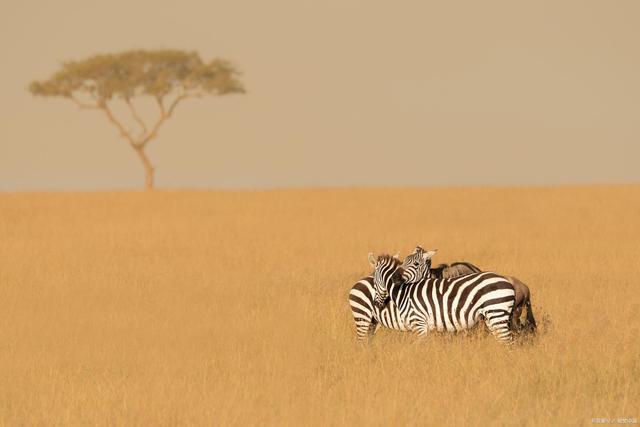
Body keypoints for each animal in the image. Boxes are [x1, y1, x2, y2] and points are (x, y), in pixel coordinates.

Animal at [370, 254, 516, 344]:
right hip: (491, 317)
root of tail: (509, 284)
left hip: (496, 312)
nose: (376, 303)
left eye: (374, 281)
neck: (404, 292)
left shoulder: (419, 323)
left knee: (508, 342)